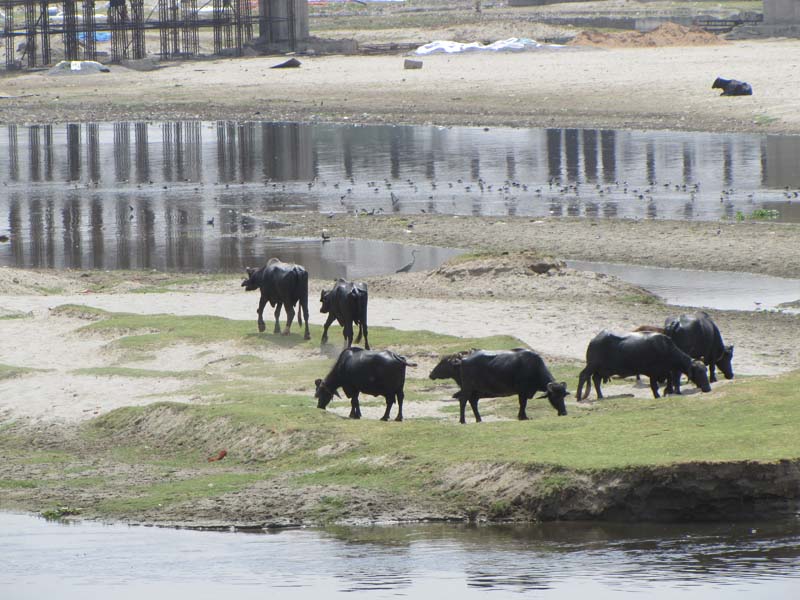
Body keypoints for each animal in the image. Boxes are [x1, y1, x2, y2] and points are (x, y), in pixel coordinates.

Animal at [432, 350, 568, 424]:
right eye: (554, 397)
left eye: (563, 396)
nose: (564, 412)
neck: (534, 369)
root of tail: (463, 360)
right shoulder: (522, 392)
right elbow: (523, 404)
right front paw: (523, 417)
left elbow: (523, 404)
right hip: (468, 388)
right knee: (463, 400)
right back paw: (463, 420)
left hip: (476, 390)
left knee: (473, 402)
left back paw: (479, 419)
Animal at [576, 330, 712, 400]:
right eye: (699, 372)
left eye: (706, 371)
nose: (708, 388)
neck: (666, 350)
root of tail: (593, 340)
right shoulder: (653, 372)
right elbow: (654, 385)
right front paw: (658, 395)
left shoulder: (665, 371)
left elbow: (669, 380)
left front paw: (667, 391)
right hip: (592, 365)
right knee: (583, 376)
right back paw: (578, 396)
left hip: (600, 369)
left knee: (596, 379)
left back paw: (600, 396)